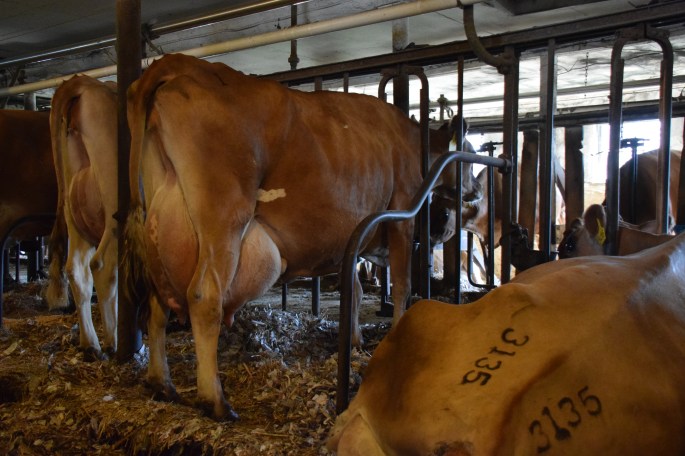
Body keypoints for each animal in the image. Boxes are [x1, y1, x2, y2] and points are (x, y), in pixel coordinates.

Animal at [46, 75, 119, 359]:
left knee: (76, 269)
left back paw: (90, 344)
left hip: (73, 209)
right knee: (103, 265)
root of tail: (84, 82)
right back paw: (113, 343)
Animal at [121, 53, 471, 420]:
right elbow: (402, 286)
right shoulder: (402, 214)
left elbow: (356, 289)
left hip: (159, 226)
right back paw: (215, 401)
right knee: (204, 297)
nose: (474, 194)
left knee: (157, 302)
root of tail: (181, 62)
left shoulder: (351, 238)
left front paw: (355, 341)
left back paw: (161, 383)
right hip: (225, 219)